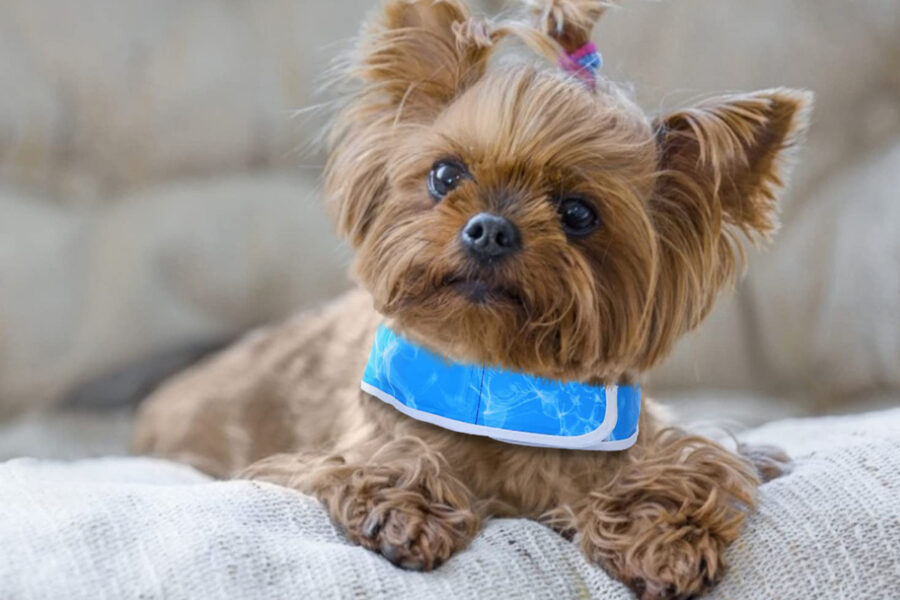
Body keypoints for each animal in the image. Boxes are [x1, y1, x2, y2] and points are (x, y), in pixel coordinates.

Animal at [132, 2, 808, 596]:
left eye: (579, 213)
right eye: (445, 175)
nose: (489, 229)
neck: (499, 379)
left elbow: (692, 466)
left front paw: (662, 538)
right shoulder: (329, 451)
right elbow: (385, 458)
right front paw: (406, 509)